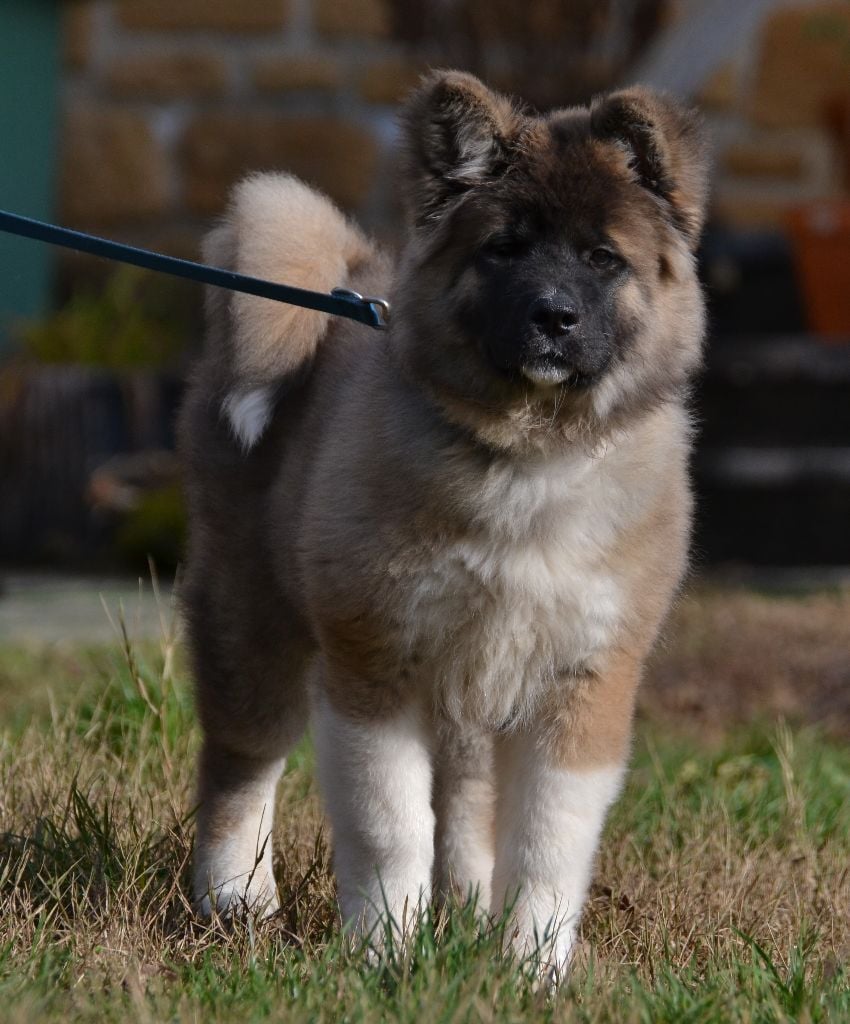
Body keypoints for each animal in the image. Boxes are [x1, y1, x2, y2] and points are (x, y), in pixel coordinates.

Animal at [177, 70, 709, 977]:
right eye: (505, 249)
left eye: (603, 258)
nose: (553, 317)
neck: (528, 456)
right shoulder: (376, 661)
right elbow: (391, 827)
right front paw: (385, 953)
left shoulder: (581, 680)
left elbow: (546, 843)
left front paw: (530, 967)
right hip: (252, 623)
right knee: (242, 765)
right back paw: (236, 901)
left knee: (464, 808)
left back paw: (463, 915)